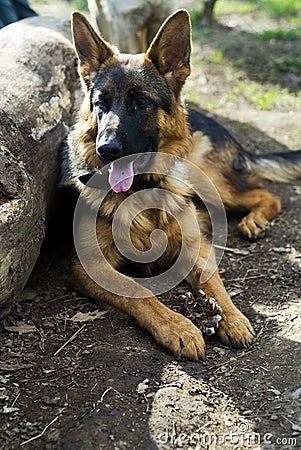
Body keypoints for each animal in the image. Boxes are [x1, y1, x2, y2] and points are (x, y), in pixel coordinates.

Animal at [61, 8, 301, 360]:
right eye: (101, 103)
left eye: (140, 102)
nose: (106, 150)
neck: (141, 191)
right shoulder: (90, 266)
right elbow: (137, 290)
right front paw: (179, 327)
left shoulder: (195, 244)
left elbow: (213, 282)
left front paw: (232, 318)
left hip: (207, 176)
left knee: (266, 194)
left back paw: (254, 221)